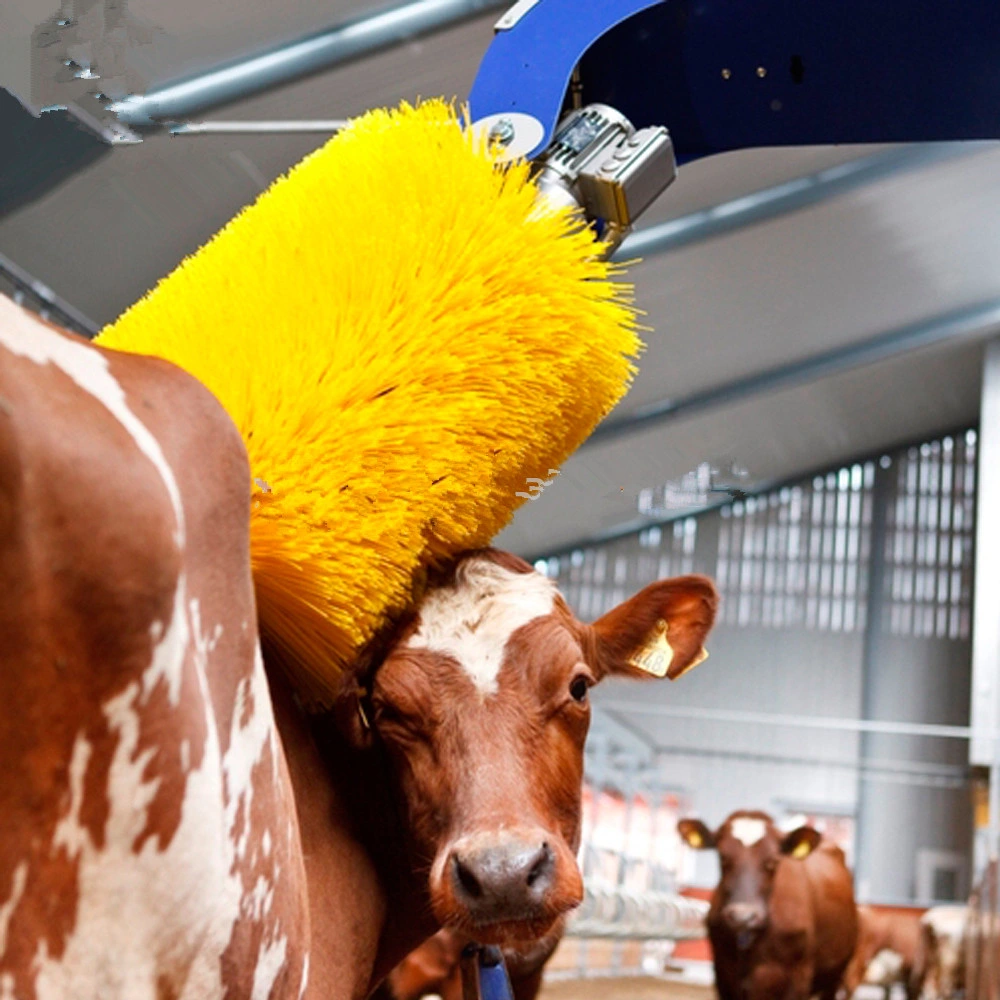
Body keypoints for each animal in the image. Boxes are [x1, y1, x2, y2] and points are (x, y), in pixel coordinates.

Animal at [680, 808, 860, 1000]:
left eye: (772, 861)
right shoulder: (724, 975)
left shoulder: (799, 977)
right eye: (723, 857)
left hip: (835, 974)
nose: (742, 916)